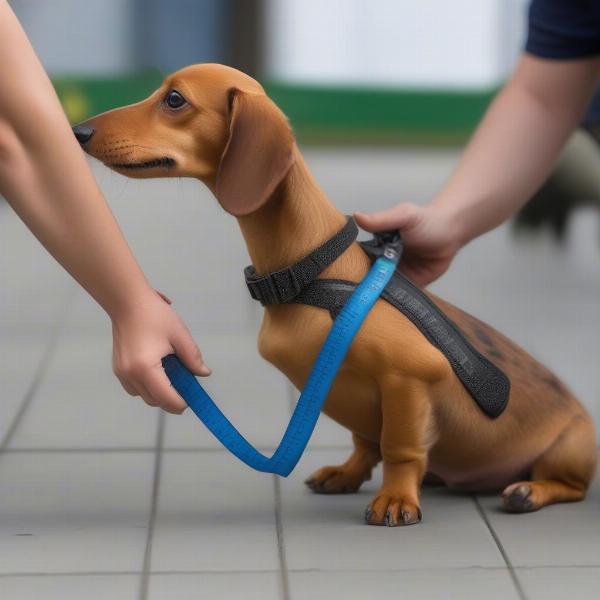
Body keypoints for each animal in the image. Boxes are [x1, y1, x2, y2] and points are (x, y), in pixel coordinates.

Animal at [74, 63, 596, 528]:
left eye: (175, 99)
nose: (79, 130)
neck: (309, 271)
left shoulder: (409, 377)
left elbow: (398, 448)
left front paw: (395, 499)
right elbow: (366, 443)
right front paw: (348, 474)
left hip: (570, 449)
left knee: (571, 487)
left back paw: (528, 491)